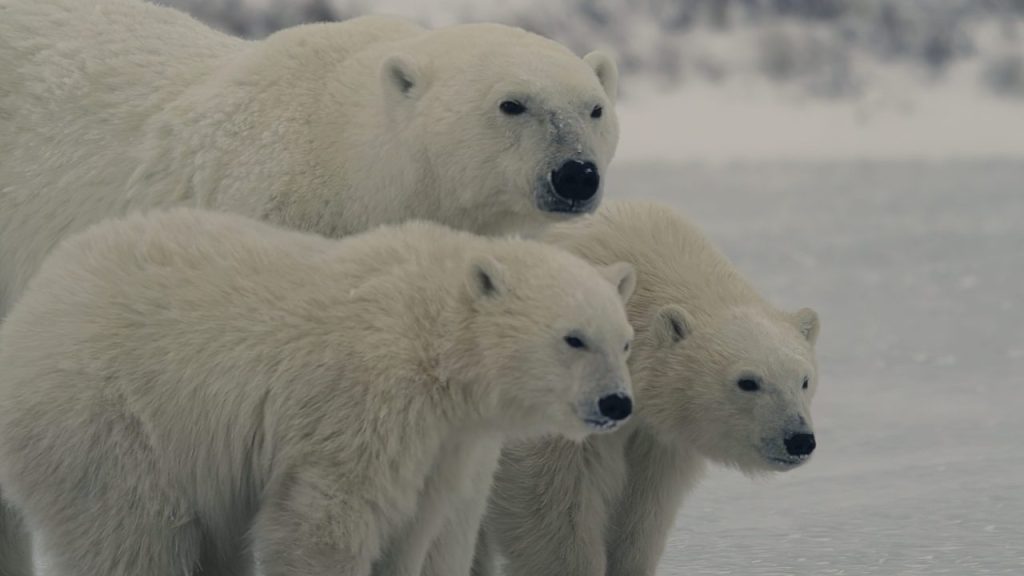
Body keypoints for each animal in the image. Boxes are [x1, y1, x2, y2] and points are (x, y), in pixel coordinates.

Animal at [0, 210, 638, 573]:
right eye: (574, 338)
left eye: (625, 341)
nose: (616, 403)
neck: (430, 334)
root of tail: (34, 301)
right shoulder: (362, 402)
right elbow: (327, 518)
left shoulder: (448, 443)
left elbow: (414, 525)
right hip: (110, 416)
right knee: (131, 533)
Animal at [475, 200, 819, 573]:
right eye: (748, 382)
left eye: (804, 380)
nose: (798, 439)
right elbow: (549, 497)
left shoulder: (656, 438)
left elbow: (643, 509)